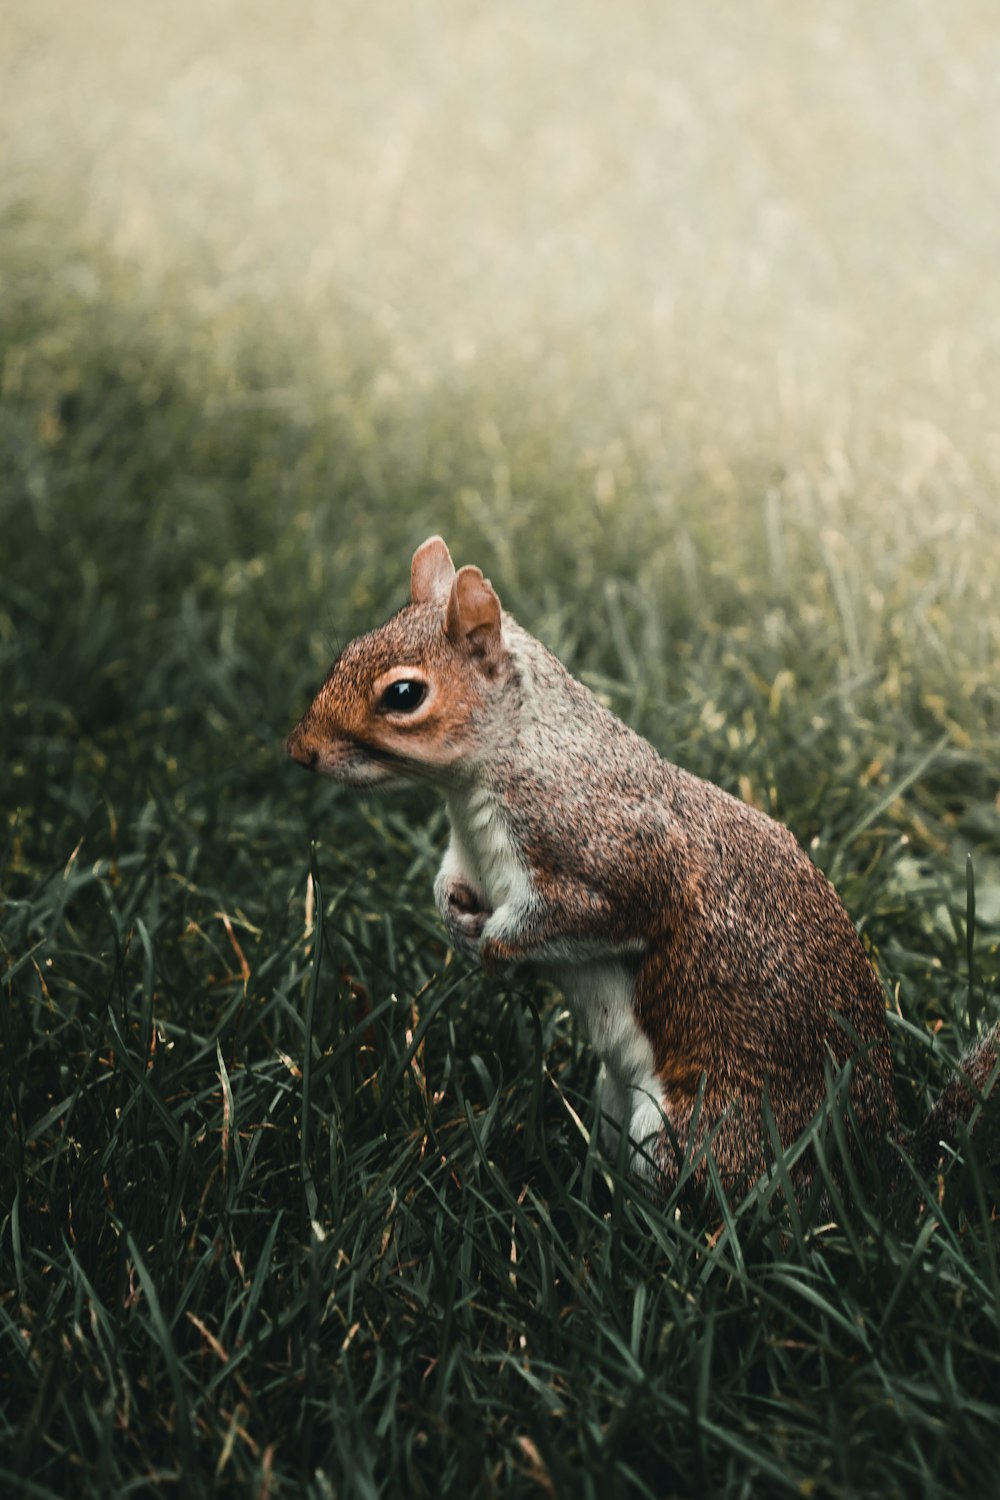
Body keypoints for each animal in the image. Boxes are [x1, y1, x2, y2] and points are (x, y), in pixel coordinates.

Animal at [284, 534, 995, 1200]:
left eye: (404, 694)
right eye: (347, 650)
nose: (299, 751)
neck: (491, 772)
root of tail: (879, 1160)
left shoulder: (609, 856)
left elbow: (592, 912)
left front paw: (496, 949)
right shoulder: (468, 857)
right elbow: (447, 884)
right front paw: (455, 924)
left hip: (700, 1132)